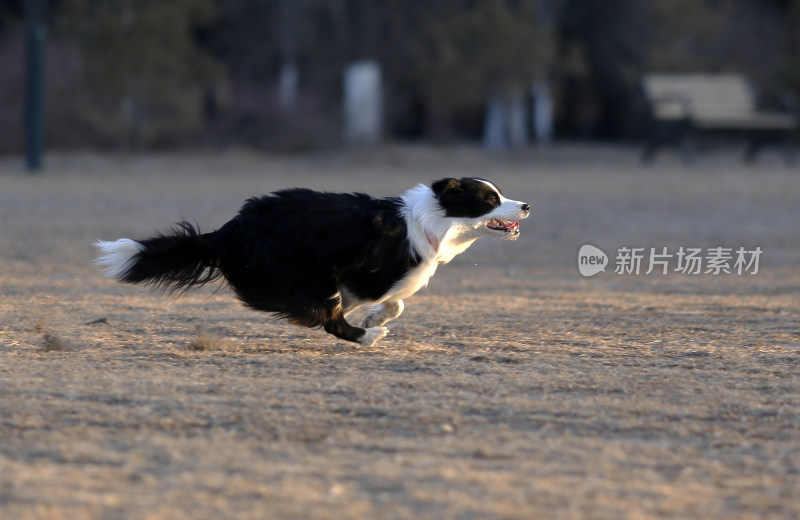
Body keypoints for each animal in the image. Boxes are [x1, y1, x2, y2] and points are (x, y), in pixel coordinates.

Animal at [95, 178, 532, 346]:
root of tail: (231, 230)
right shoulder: (368, 273)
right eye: (490, 198)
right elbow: (384, 299)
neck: (435, 219)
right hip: (309, 271)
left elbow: (395, 302)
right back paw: (367, 337)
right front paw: (372, 323)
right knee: (331, 320)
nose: (526, 205)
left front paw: (376, 315)